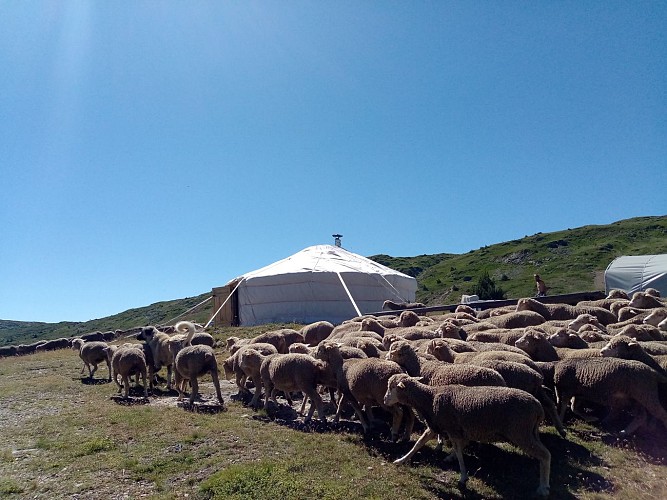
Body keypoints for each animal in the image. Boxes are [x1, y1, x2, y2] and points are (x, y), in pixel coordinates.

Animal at [384, 376, 552, 496]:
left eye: (392, 387)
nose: (385, 400)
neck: (429, 398)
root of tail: (538, 407)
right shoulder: (438, 426)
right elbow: (418, 443)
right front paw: (401, 460)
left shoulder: (452, 428)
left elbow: (459, 452)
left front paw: (463, 477)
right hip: (529, 432)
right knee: (543, 454)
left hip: (520, 432)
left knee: (545, 455)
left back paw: (543, 487)